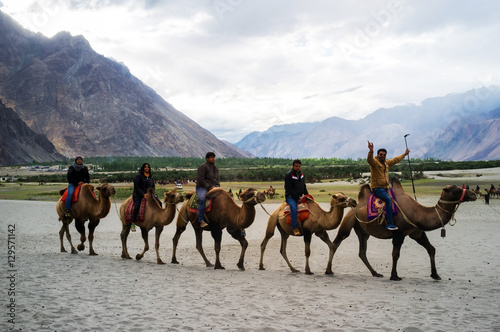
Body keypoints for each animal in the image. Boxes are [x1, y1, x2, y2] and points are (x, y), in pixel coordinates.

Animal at [328, 178, 476, 282]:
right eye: (457, 189)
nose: (473, 194)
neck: (417, 213)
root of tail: (355, 206)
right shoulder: (399, 234)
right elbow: (395, 254)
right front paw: (394, 276)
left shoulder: (417, 232)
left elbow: (431, 249)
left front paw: (435, 275)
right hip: (348, 221)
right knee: (336, 243)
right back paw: (329, 270)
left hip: (362, 231)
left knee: (362, 252)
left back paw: (376, 273)